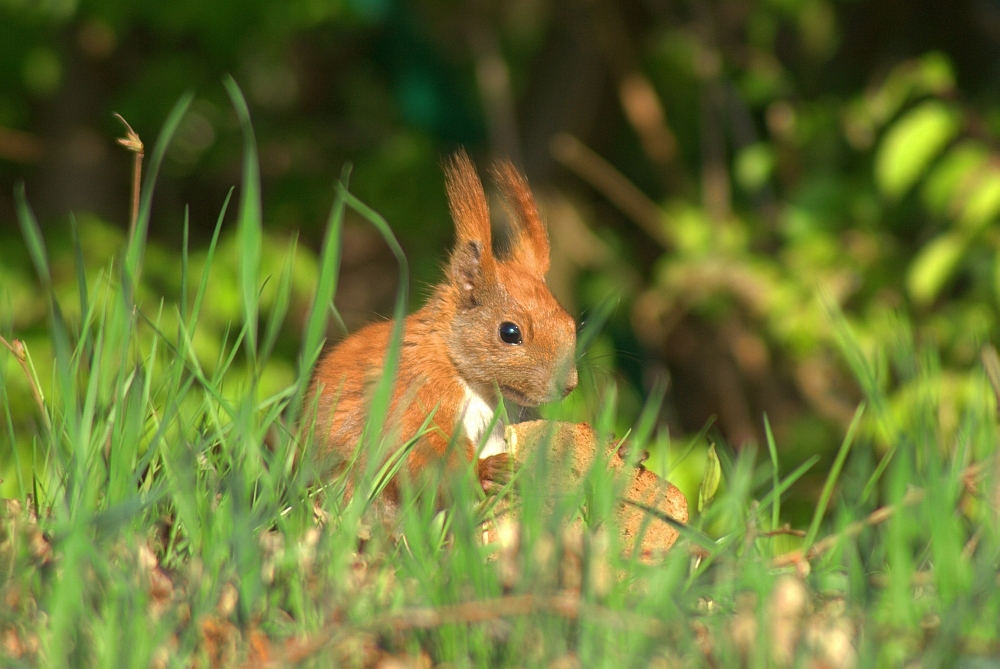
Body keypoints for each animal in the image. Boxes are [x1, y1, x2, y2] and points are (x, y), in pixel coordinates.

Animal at [310, 151, 580, 496]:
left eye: (570, 322)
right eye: (510, 333)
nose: (569, 385)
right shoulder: (414, 392)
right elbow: (422, 452)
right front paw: (488, 470)